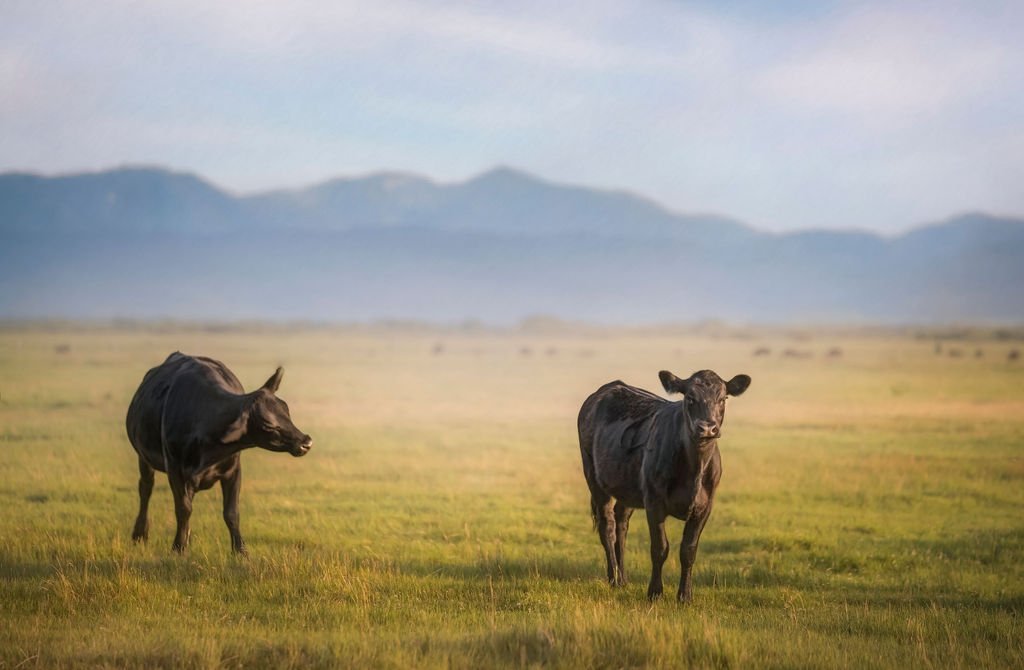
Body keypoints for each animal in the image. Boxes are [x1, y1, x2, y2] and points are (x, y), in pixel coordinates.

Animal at [126, 352, 313, 554]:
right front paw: (178, 547)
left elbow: (231, 512)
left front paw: (240, 550)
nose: (306, 441)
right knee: (146, 488)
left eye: (287, 412)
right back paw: (140, 533)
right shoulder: (174, 469)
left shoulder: (233, 470)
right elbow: (183, 509)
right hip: (144, 458)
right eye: (268, 424)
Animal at [578, 369, 751, 602]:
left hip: (628, 486)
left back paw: (623, 578)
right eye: (690, 398)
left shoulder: (705, 507)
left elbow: (688, 551)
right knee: (608, 526)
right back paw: (614, 578)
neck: (694, 469)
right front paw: (655, 592)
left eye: (722, 399)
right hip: (594, 477)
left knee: (621, 523)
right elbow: (660, 548)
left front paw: (685, 596)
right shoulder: (654, 502)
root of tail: (609, 387)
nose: (707, 427)